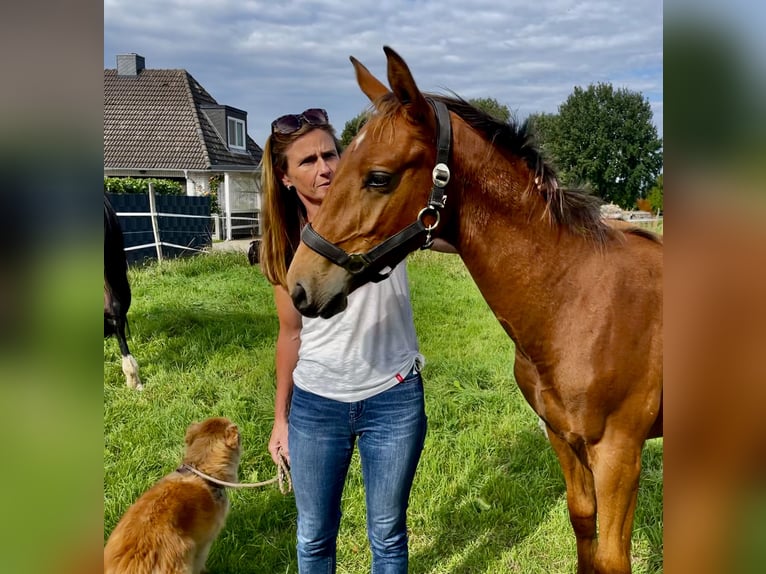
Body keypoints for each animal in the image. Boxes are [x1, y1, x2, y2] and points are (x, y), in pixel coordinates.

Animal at [288, 47, 664, 572]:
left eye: (379, 177)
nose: (300, 285)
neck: (578, 300)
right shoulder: (563, 439)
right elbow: (583, 527)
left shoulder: (619, 453)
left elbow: (612, 557)